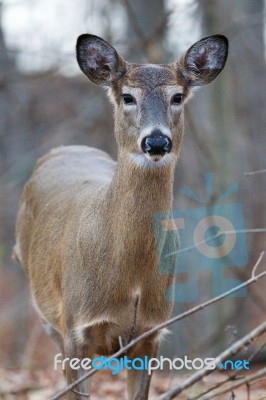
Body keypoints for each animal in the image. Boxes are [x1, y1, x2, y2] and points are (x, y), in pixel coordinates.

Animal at [13, 32, 228, 398]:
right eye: (128, 96)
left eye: (178, 96)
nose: (156, 141)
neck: (132, 278)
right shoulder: (76, 328)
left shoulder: (150, 332)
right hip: (46, 312)